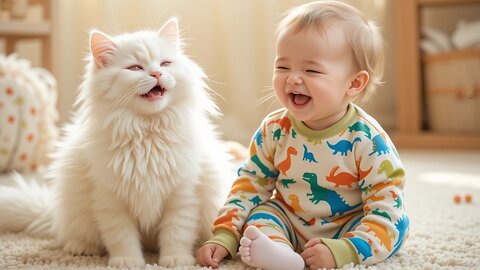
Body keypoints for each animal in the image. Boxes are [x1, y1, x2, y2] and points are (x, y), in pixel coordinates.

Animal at [0, 18, 234, 268]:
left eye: (165, 63)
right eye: (135, 68)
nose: (157, 73)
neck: (147, 132)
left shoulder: (183, 195)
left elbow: (176, 234)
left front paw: (175, 260)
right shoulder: (110, 198)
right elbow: (122, 237)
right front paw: (128, 261)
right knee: (74, 234)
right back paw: (81, 248)